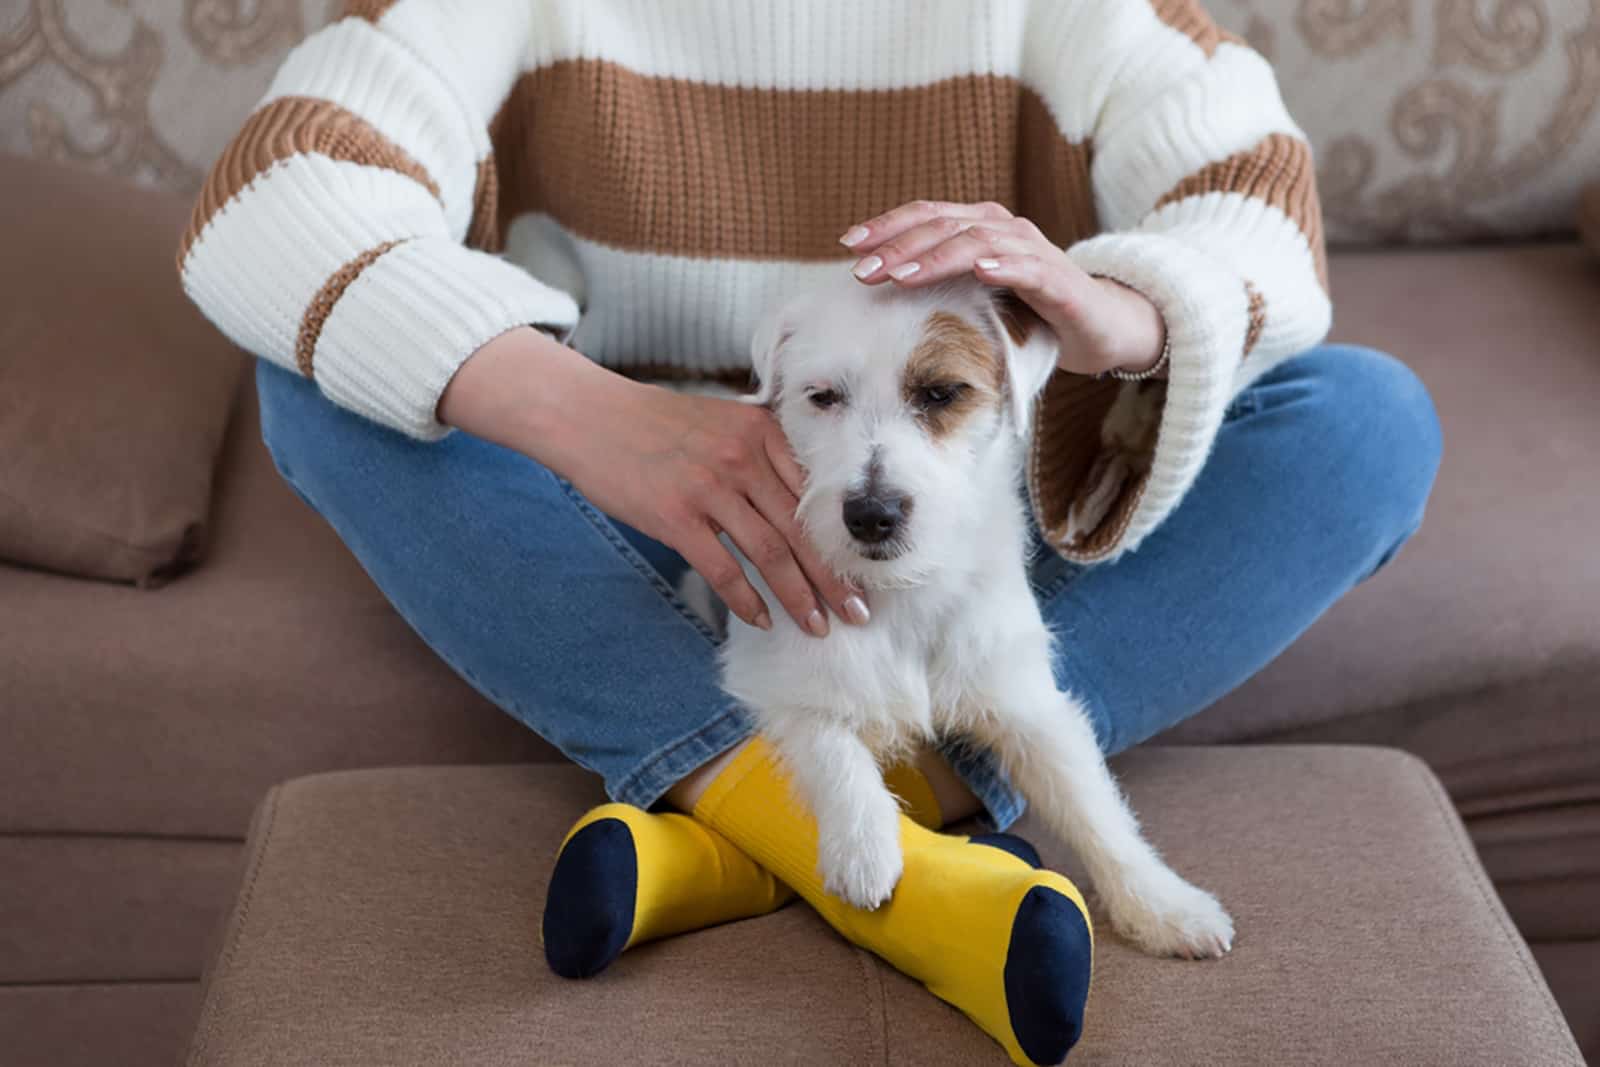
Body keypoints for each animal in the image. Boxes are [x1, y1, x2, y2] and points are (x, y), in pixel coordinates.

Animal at [691, 271, 1235, 953]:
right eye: (823, 397)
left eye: (941, 393)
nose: (871, 515)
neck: (904, 593)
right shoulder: (773, 675)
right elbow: (829, 742)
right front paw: (863, 846)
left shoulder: (1028, 703)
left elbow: (1092, 805)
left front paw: (1161, 904)